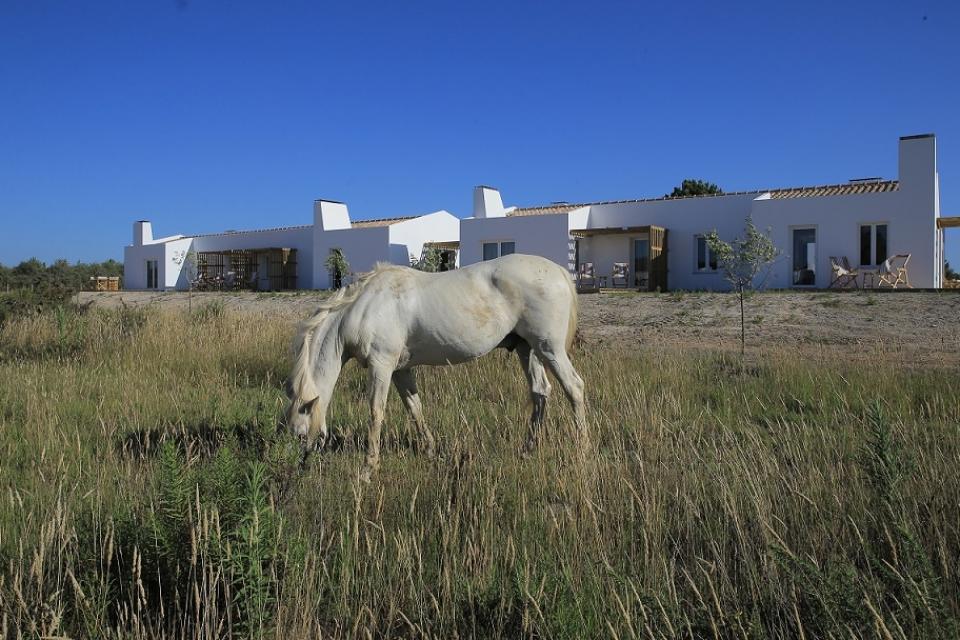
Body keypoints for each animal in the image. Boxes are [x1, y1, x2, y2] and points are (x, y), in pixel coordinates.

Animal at [282, 252, 588, 478]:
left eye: (299, 434)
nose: (299, 468)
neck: (363, 307)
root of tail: (559, 271)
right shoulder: (400, 370)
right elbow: (414, 408)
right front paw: (430, 451)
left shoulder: (381, 365)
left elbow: (376, 412)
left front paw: (369, 469)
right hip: (528, 350)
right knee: (540, 392)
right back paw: (526, 450)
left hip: (550, 349)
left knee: (574, 388)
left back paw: (581, 449)